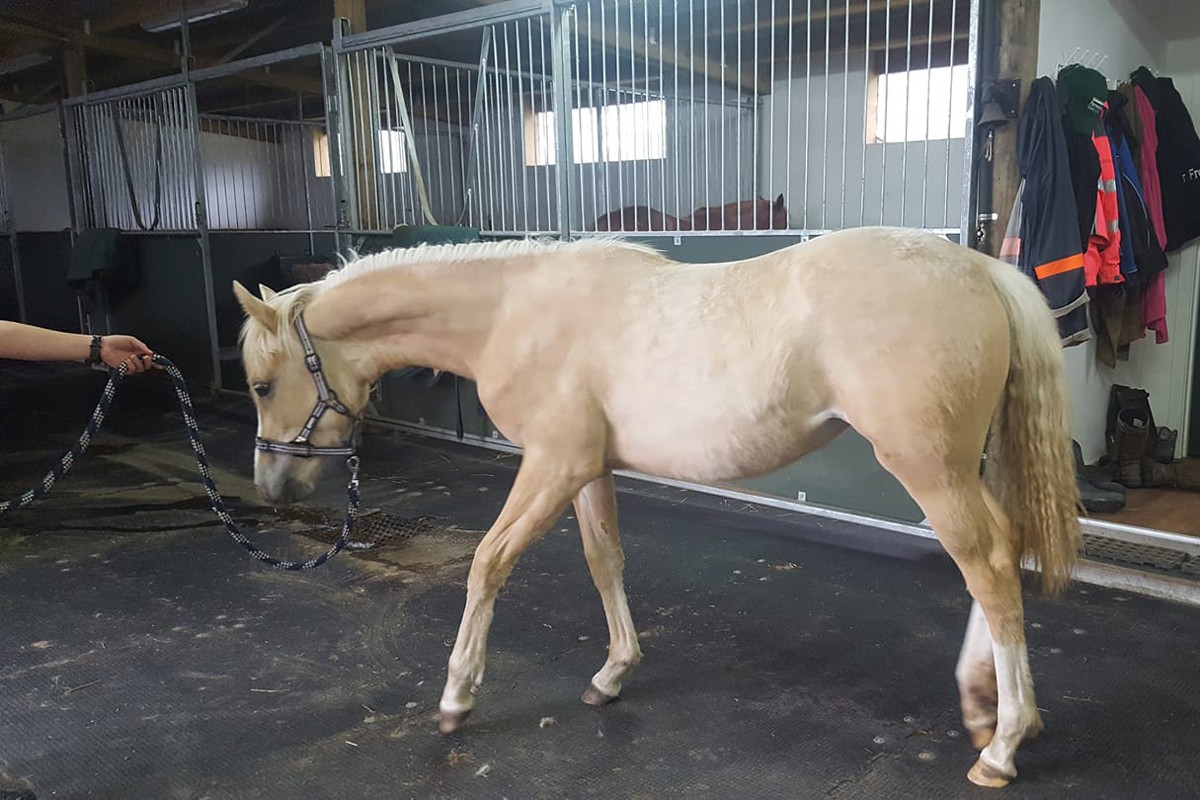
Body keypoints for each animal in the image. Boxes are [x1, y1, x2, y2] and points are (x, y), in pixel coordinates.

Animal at [233, 227, 1080, 789]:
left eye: (263, 384)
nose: (271, 488)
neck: (513, 311)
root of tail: (979, 268)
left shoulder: (551, 464)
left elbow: (488, 563)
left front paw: (456, 696)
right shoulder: (586, 470)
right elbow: (603, 559)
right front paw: (613, 673)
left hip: (929, 468)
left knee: (988, 565)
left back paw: (1002, 746)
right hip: (959, 468)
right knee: (997, 554)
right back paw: (987, 708)